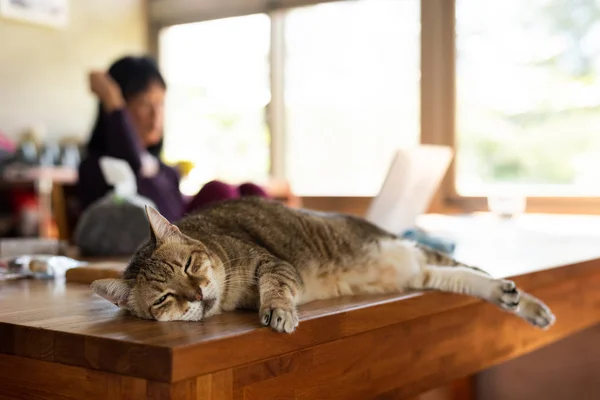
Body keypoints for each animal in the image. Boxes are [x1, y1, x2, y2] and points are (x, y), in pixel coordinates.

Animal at [91, 196, 556, 332]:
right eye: (163, 299)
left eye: (190, 265)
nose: (197, 294)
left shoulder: (273, 264)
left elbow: (277, 286)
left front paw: (278, 311)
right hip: (421, 271)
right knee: (461, 277)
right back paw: (510, 297)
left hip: (412, 253)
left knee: (475, 270)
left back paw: (529, 303)